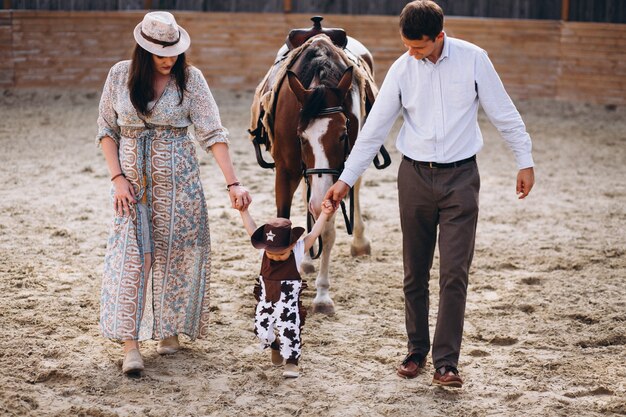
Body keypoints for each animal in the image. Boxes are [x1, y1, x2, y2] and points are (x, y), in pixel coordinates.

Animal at [264, 35, 376, 314]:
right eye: (301, 137)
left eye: (343, 134)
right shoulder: (286, 171)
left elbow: (327, 231)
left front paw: (323, 295)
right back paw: (305, 259)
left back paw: (359, 242)